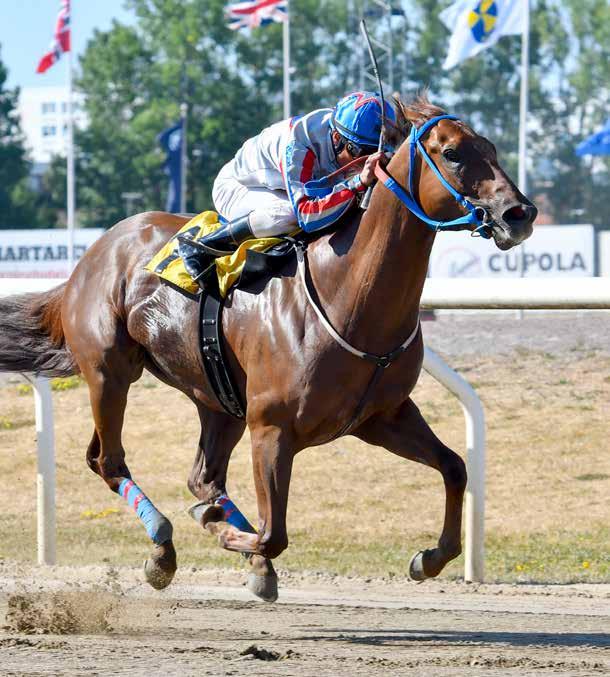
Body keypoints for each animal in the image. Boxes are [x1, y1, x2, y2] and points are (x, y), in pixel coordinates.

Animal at [0, 93, 532, 596]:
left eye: (492, 148)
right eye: (453, 153)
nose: (520, 213)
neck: (348, 296)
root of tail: (94, 252)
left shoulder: (385, 417)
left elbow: (455, 467)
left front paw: (429, 558)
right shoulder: (272, 428)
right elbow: (273, 533)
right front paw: (224, 532)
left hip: (217, 398)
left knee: (202, 476)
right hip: (110, 372)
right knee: (108, 461)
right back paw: (164, 550)